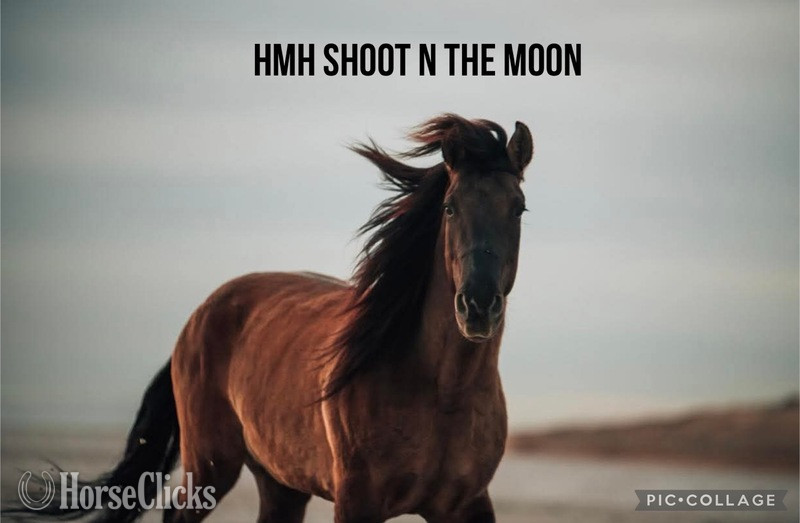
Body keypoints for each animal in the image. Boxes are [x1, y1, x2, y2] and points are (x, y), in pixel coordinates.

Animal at [10, 114, 533, 523]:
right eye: (449, 207)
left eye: (519, 208)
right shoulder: (357, 502)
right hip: (211, 465)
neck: (441, 392)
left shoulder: (468, 505)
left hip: (281, 483)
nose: (477, 306)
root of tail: (196, 319)